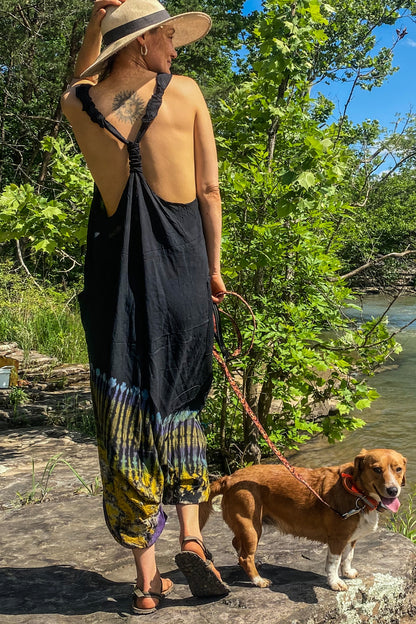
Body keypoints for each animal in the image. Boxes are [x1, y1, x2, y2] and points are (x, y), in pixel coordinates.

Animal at [200, 448, 408, 588]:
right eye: (377, 469)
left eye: (398, 469)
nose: (393, 490)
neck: (357, 490)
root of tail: (229, 478)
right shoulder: (337, 540)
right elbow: (333, 563)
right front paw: (335, 582)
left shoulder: (351, 539)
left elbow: (348, 557)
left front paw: (347, 572)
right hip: (251, 528)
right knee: (245, 557)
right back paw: (258, 579)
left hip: (249, 528)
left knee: (237, 544)